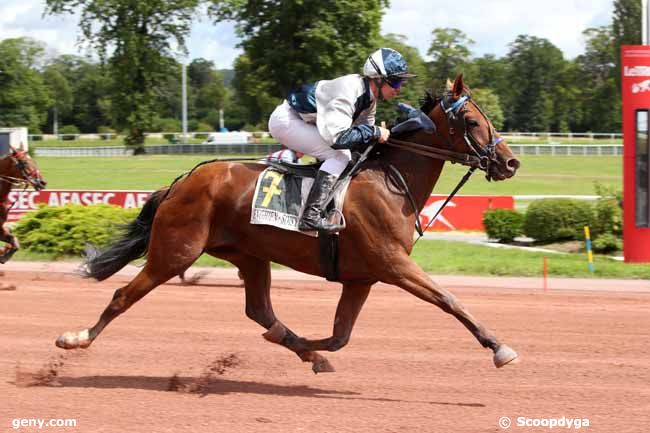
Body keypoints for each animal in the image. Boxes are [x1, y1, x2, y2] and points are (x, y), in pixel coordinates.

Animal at [55, 74, 520, 372]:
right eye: (473, 122)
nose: (511, 162)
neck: (390, 181)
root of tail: (180, 182)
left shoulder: (362, 276)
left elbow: (340, 335)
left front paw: (309, 349)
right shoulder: (392, 263)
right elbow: (449, 299)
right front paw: (500, 347)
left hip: (249, 255)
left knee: (259, 310)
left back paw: (299, 348)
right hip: (175, 251)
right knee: (123, 295)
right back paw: (75, 338)